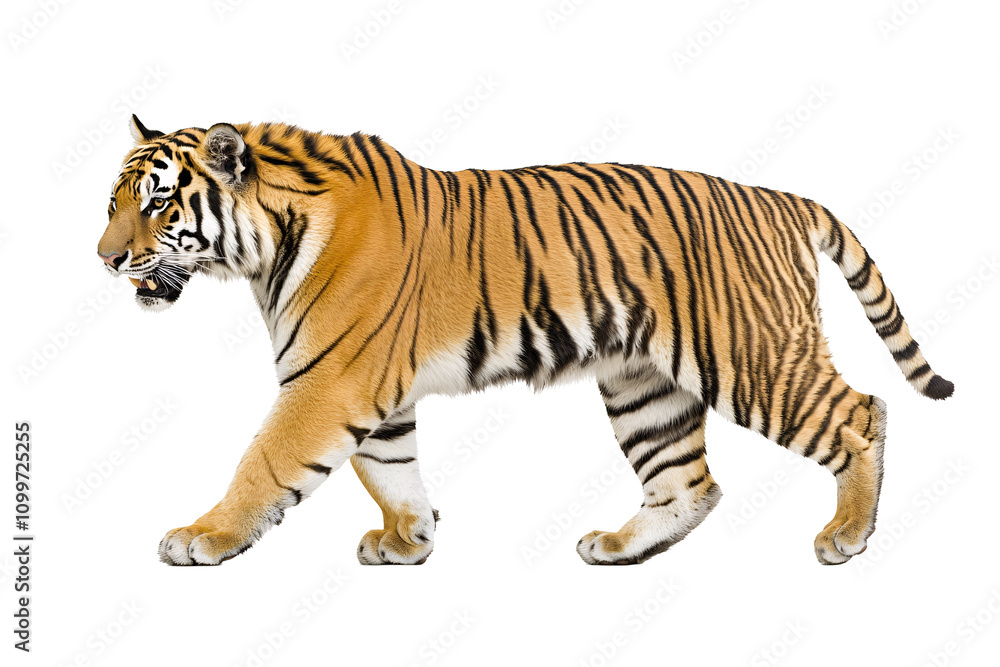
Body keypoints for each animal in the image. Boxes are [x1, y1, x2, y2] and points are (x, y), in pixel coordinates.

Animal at [97, 114, 953, 567]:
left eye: (157, 204)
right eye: (114, 204)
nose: (104, 258)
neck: (266, 243)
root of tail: (782, 198)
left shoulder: (328, 380)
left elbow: (265, 462)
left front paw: (203, 536)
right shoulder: (372, 390)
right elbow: (390, 469)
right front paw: (408, 540)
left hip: (751, 356)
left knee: (861, 412)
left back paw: (848, 534)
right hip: (643, 383)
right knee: (689, 482)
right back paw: (618, 545)